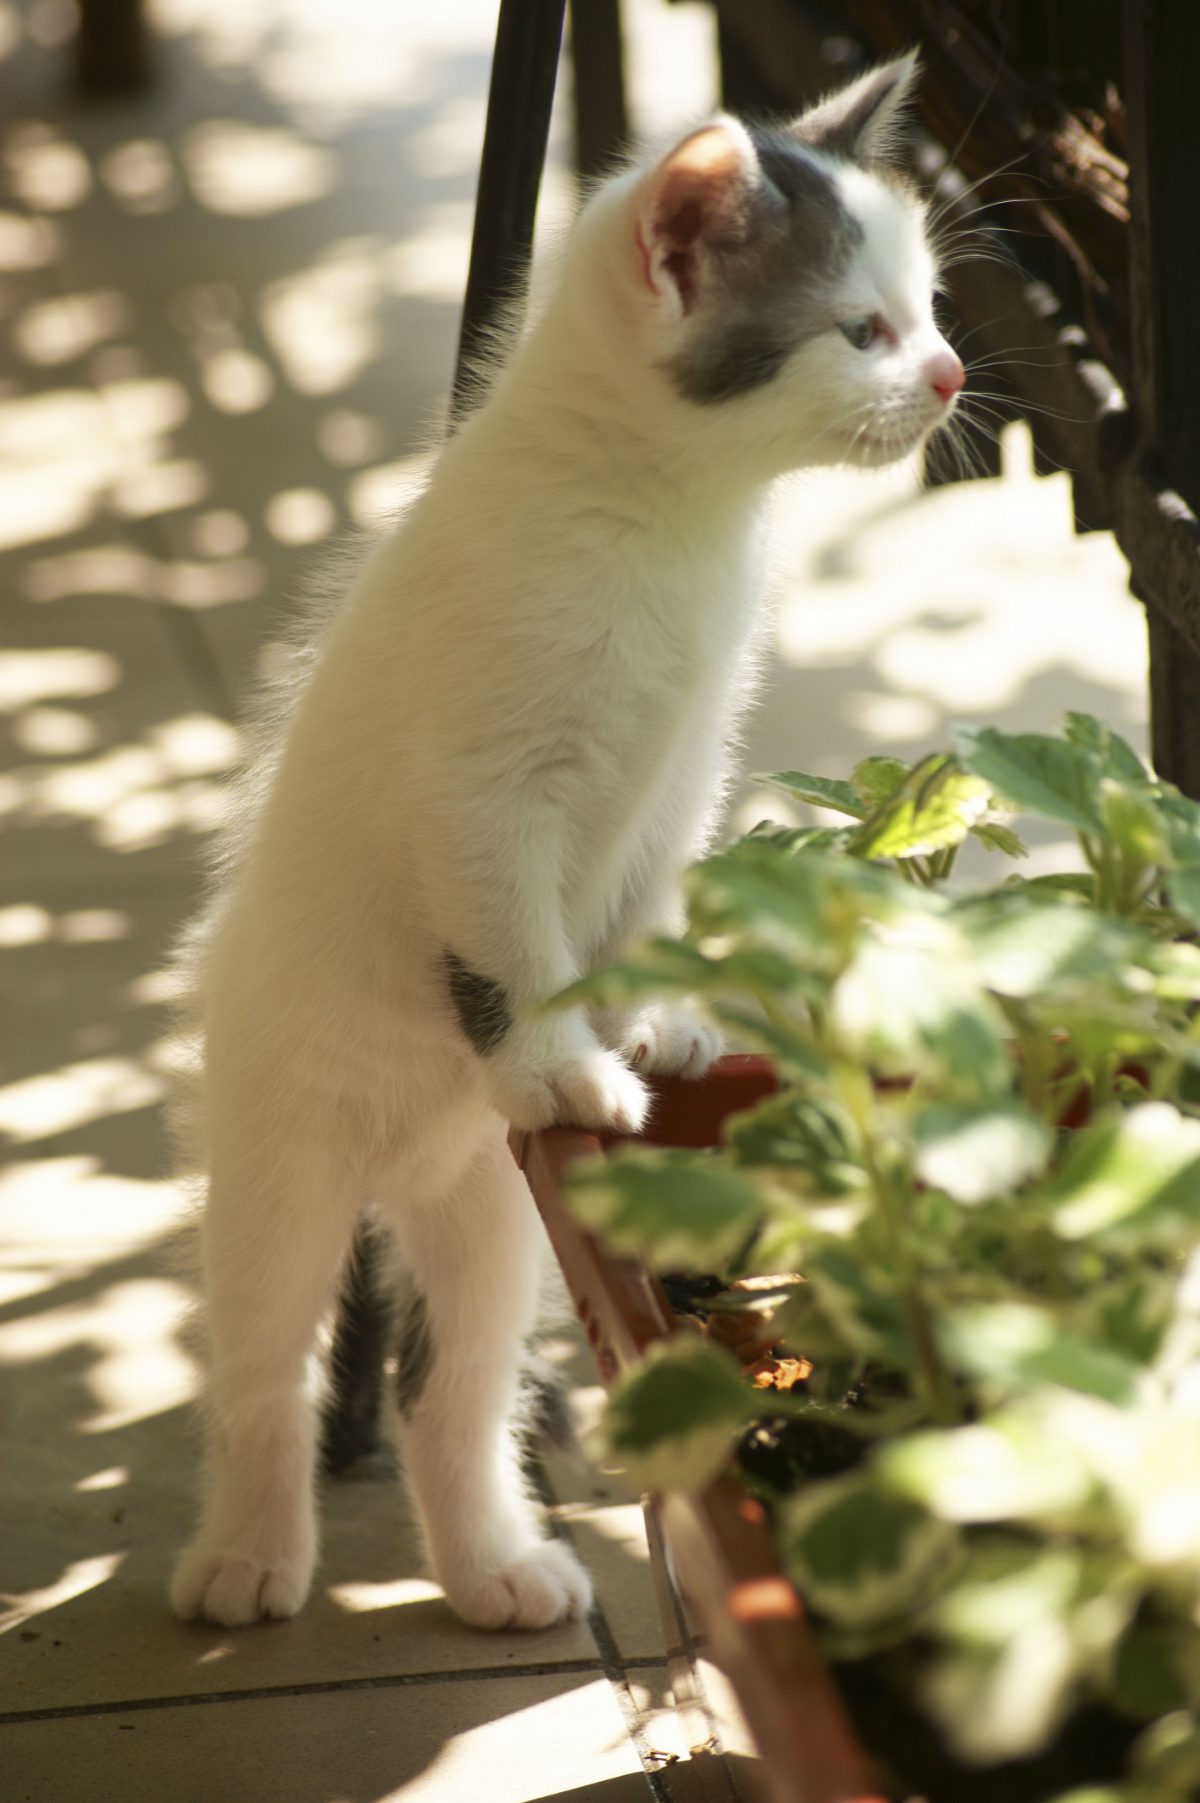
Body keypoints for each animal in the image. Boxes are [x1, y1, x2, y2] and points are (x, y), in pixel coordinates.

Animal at [168, 56, 958, 1637]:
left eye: (934, 307)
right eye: (862, 330)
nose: (955, 374)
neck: (668, 525)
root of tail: (396, 1160)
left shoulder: (682, 764)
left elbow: (637, 892)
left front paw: (644, 1022)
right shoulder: (483, 785)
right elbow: (506, 932)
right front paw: (551, 1055)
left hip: (491, 1209)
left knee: (455, 1383)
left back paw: (491, 1561)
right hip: (275, 1143)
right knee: (269, 1363)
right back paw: (244, 1551)